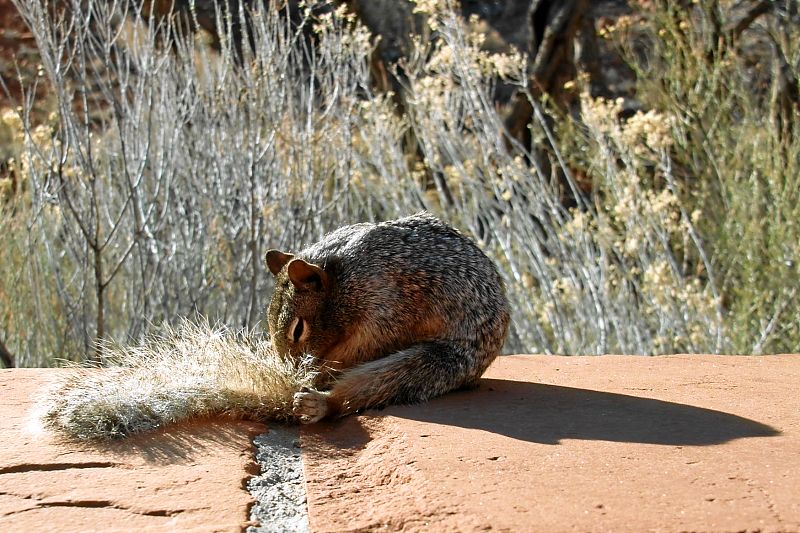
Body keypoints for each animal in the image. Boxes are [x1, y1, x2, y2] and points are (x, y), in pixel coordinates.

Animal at [266, 212, 510, 424]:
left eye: (298, 330)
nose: (293, 370)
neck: (342, 280)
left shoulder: (387, 309)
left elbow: (363, 349)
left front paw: (317, 371)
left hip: (434, 364)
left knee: (375, 385)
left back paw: (320, 403)